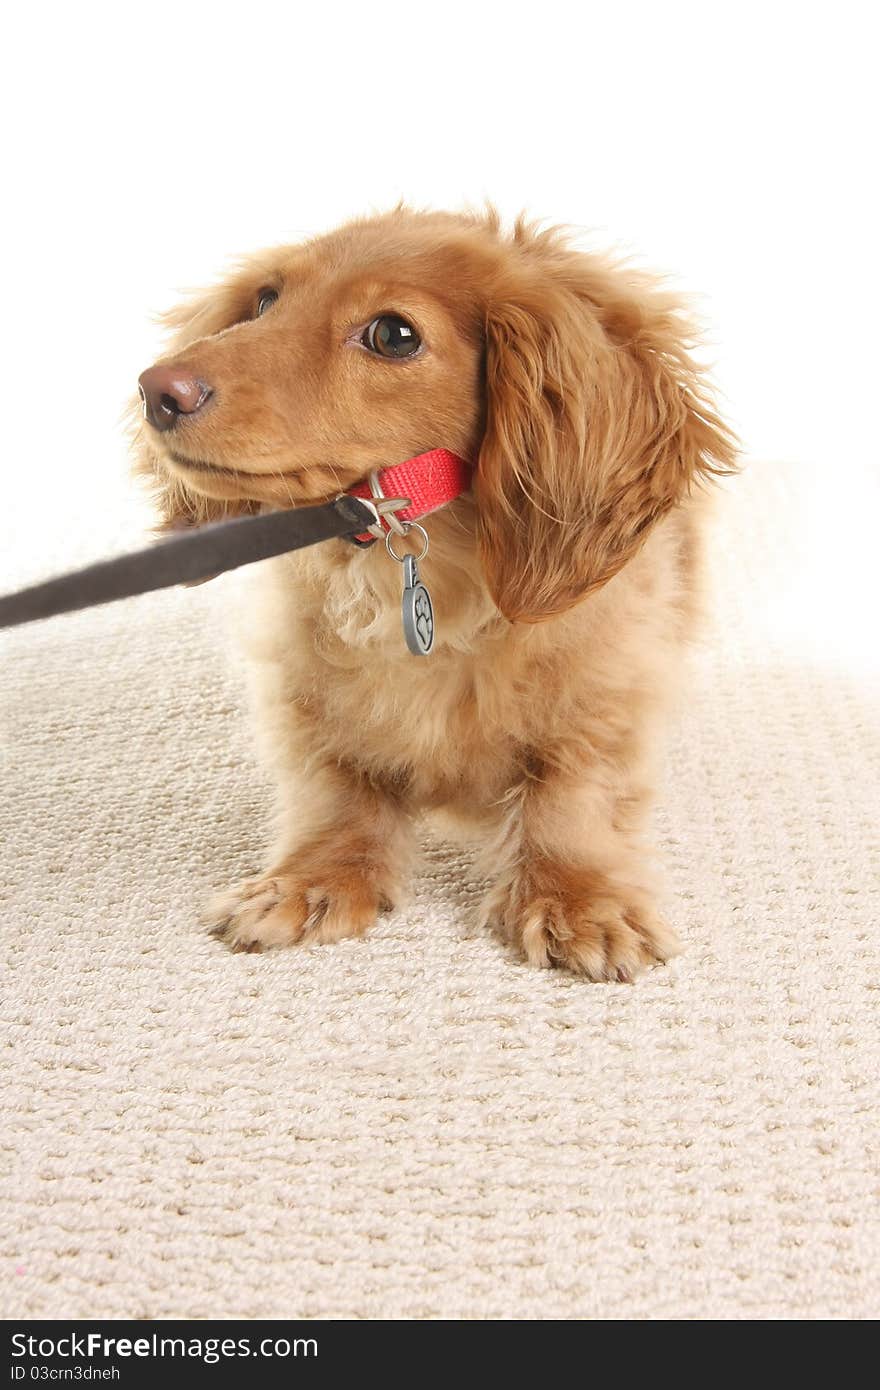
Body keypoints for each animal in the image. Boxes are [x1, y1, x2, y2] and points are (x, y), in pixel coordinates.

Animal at [132, 211, 734, 984]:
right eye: (266, 300)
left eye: (394, 334)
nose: (157, 390)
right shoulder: (309, 693)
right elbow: (335, 789)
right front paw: (311, 880)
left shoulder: (605, 692)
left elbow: (574, 795)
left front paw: (579, 898)